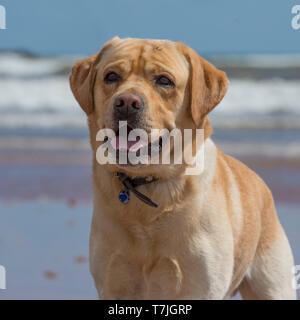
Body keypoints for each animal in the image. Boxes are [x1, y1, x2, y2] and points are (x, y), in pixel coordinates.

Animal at [69, 37, 296, 300]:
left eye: (164, 80)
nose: (125, 102)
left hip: (273, 285)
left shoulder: (201, 287)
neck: (147, 184)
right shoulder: (112, 283)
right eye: (111, 76)